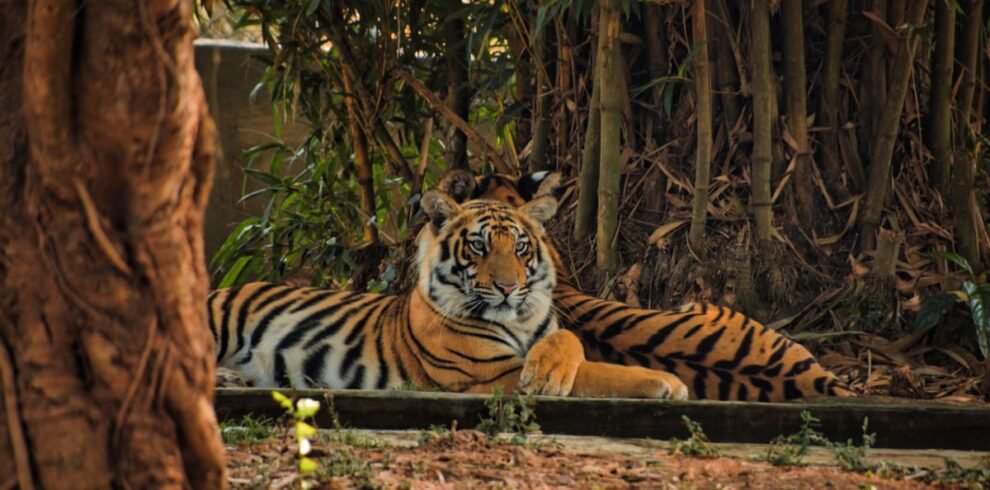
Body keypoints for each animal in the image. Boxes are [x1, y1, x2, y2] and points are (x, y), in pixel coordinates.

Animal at [209, 190, 689, 399]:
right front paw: (667, 382)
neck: (520, 320)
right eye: (478, 246)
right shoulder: (491, 374)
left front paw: (550, 370)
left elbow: (572, 344)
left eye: (520, 247)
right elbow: (598, 373)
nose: (508, 287)